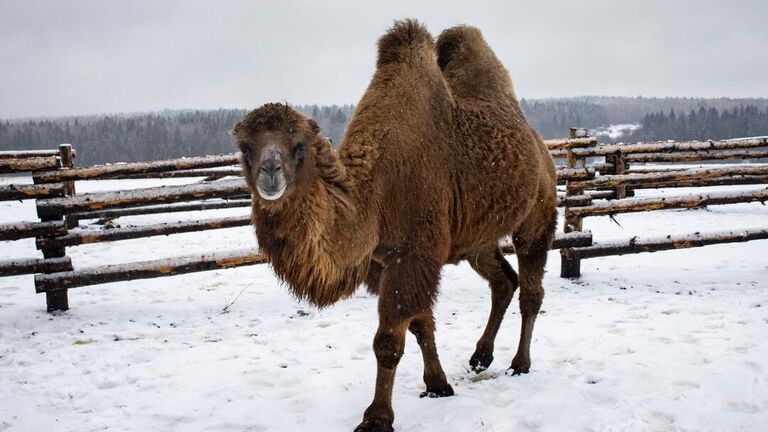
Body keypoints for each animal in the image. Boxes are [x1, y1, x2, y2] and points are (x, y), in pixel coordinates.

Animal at [234, 18, 560, 430]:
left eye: (299, 145)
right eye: (245, 147)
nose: (270, 173)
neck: (375, 195)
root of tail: (540, 146)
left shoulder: (412, 254)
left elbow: (388, 341)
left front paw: (376, 418)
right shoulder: (392, 259)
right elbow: (421, 325)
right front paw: (438, 385)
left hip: (538, 213)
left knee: (531, 288)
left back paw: (519, 364)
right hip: (474, 240)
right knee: (503, 280)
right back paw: (480, 358)